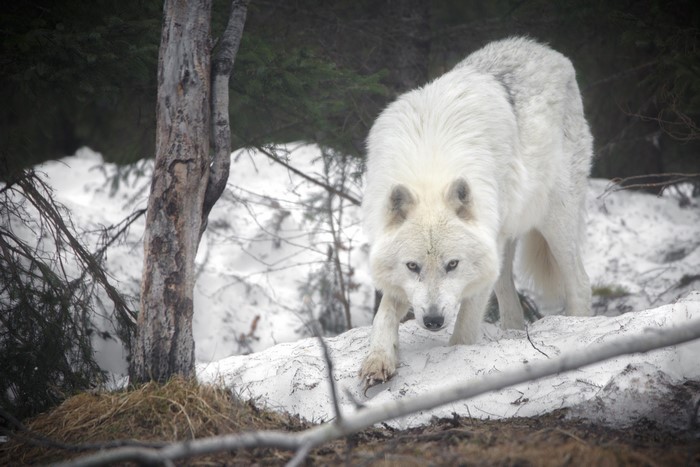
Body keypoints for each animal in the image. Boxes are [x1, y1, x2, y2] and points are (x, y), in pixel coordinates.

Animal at [359, 37, 593, 389]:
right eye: (412, 266)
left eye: (453, 264)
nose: (432, 320)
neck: (431, 171)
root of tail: (546, 50)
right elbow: (383, 314)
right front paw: (378, 360)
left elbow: (466, 327)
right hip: (505, 238)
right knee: (507, 289)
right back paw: (512, 332)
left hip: (555, 221)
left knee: (580, 283)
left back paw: (580, 328)